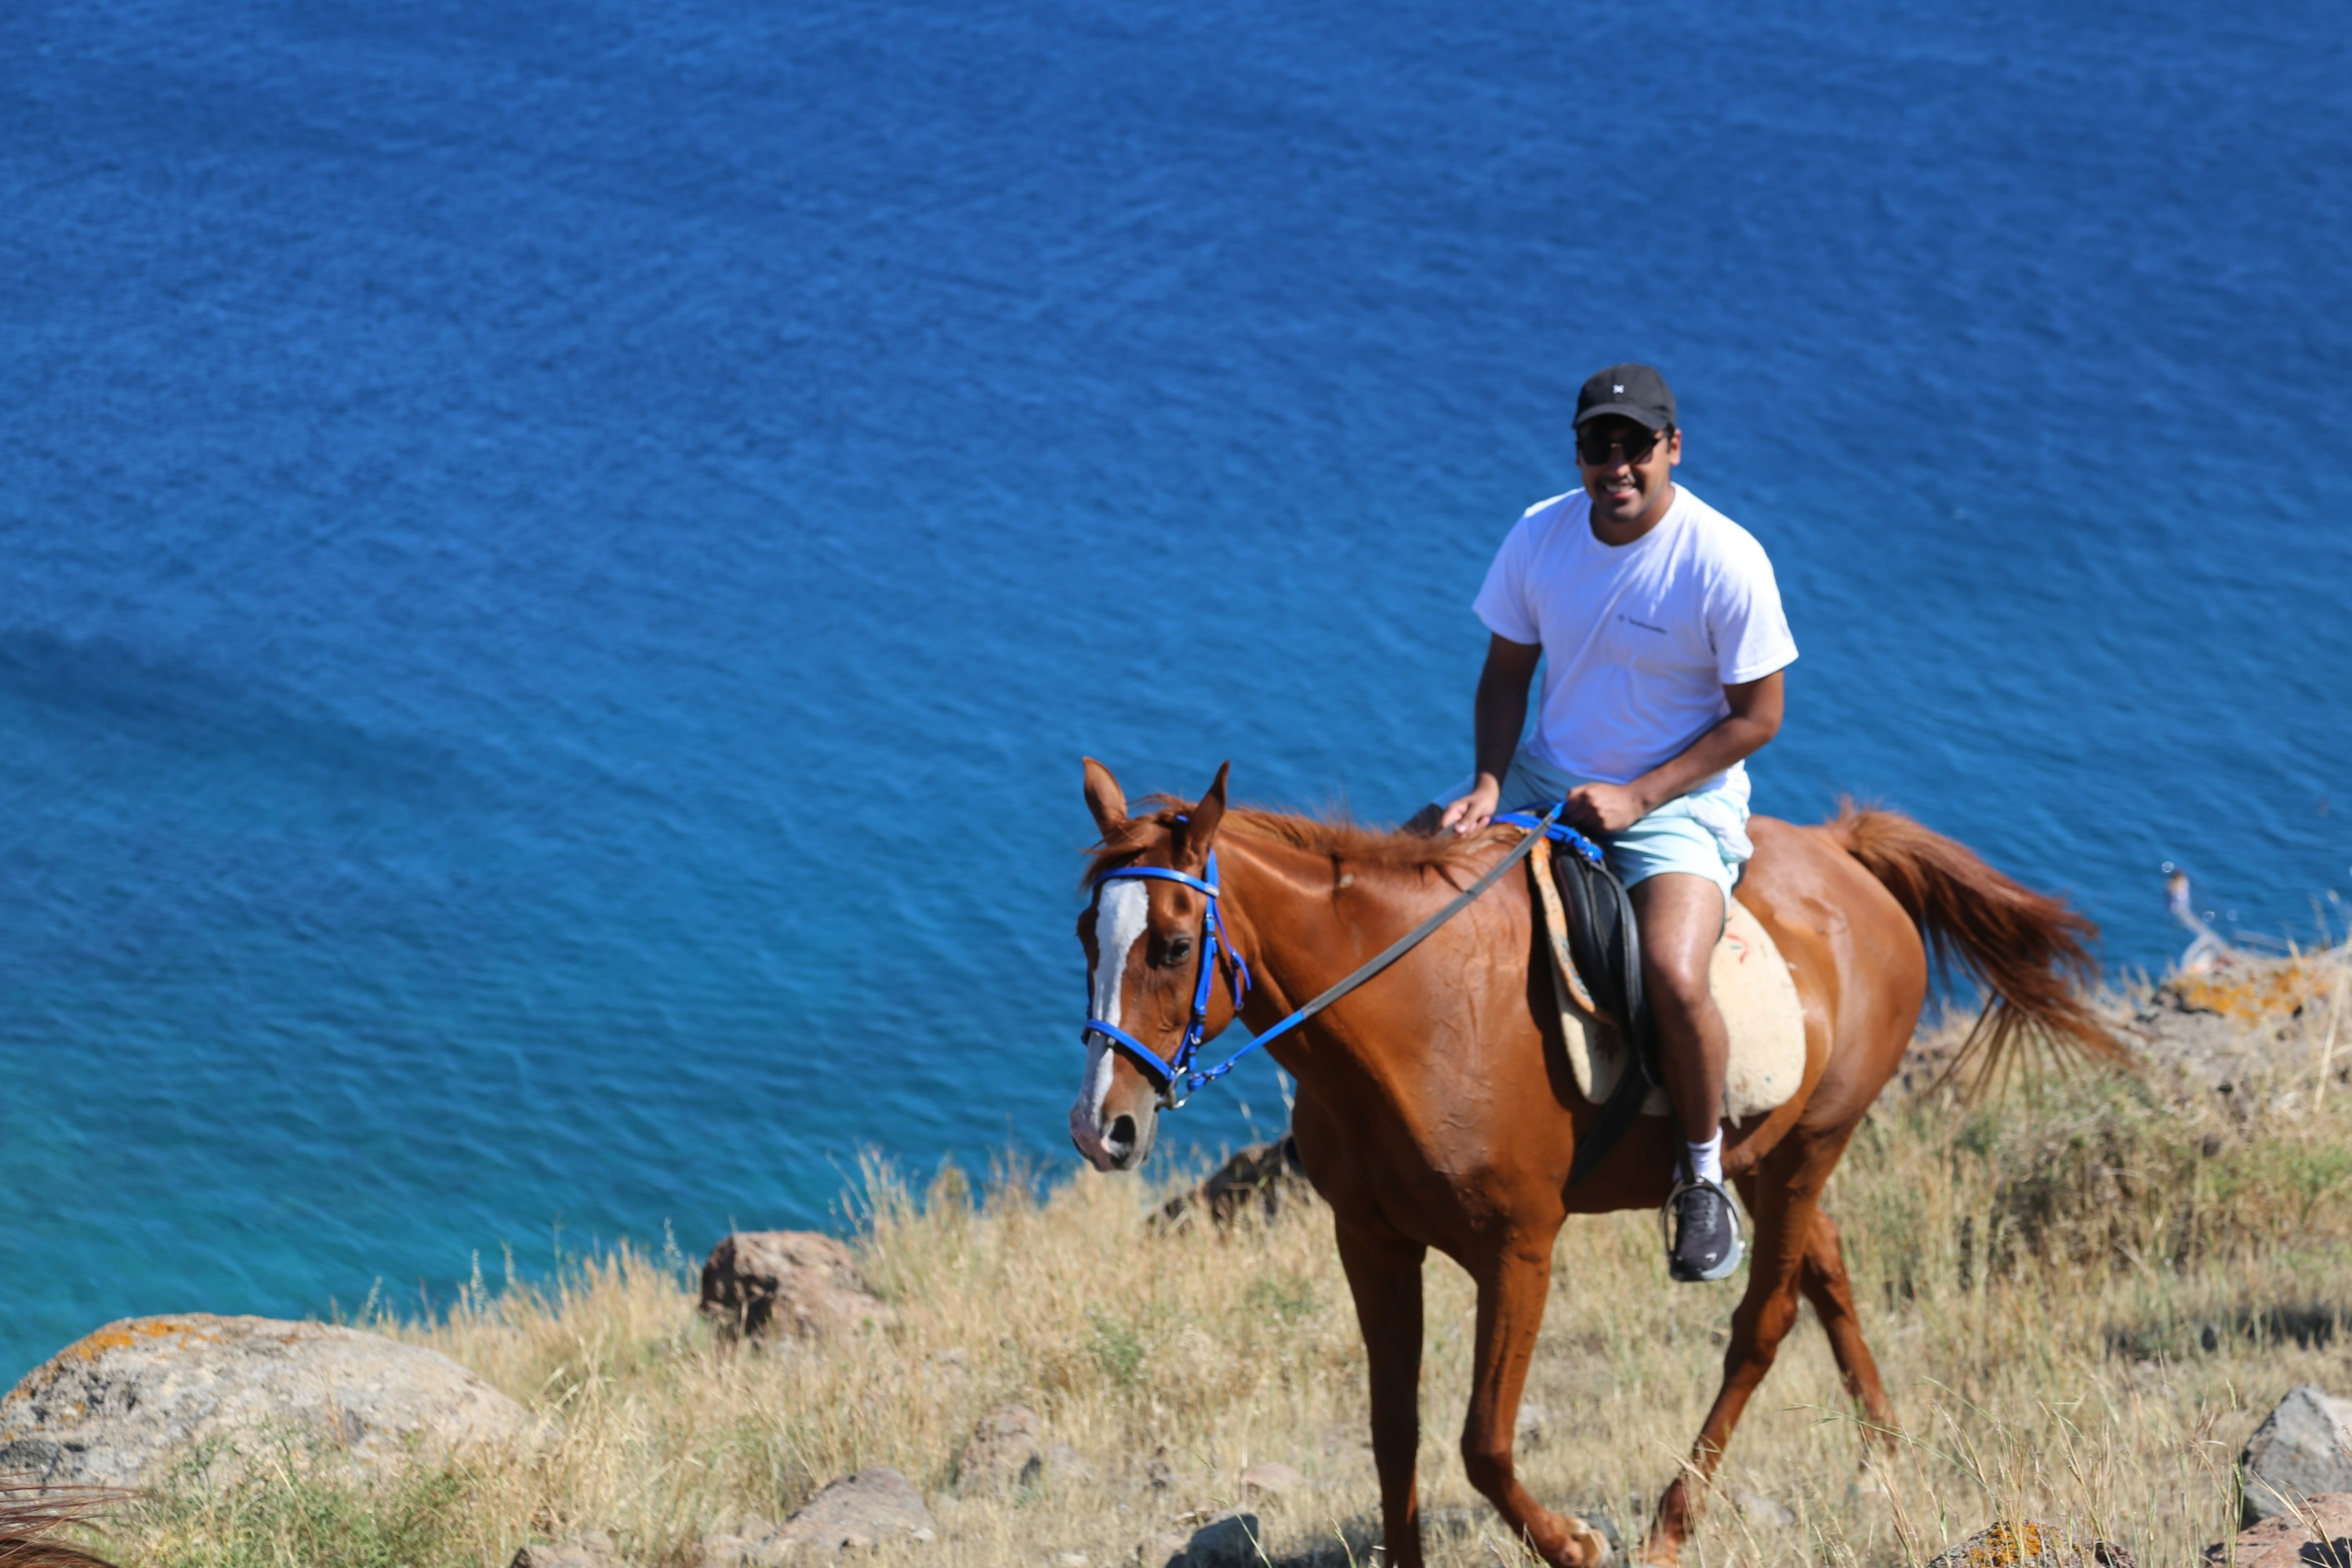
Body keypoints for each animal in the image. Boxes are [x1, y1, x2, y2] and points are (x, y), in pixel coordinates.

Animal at [1077, 757, 2126, 1561]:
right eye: (1090, 934)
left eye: (1172, 944)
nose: (1102, 1127)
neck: (1418, 1015)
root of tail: (1845, 850)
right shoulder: (1371, 1243)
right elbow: (1394, 1432)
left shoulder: (1519, 1250)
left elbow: (1483, 1441)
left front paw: (1574, 1542)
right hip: (1766, 1154)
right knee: (1826, 1267)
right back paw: (1878, 1463)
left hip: (1810, 1145)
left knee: (1765, 1319)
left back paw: (1674, 1519)